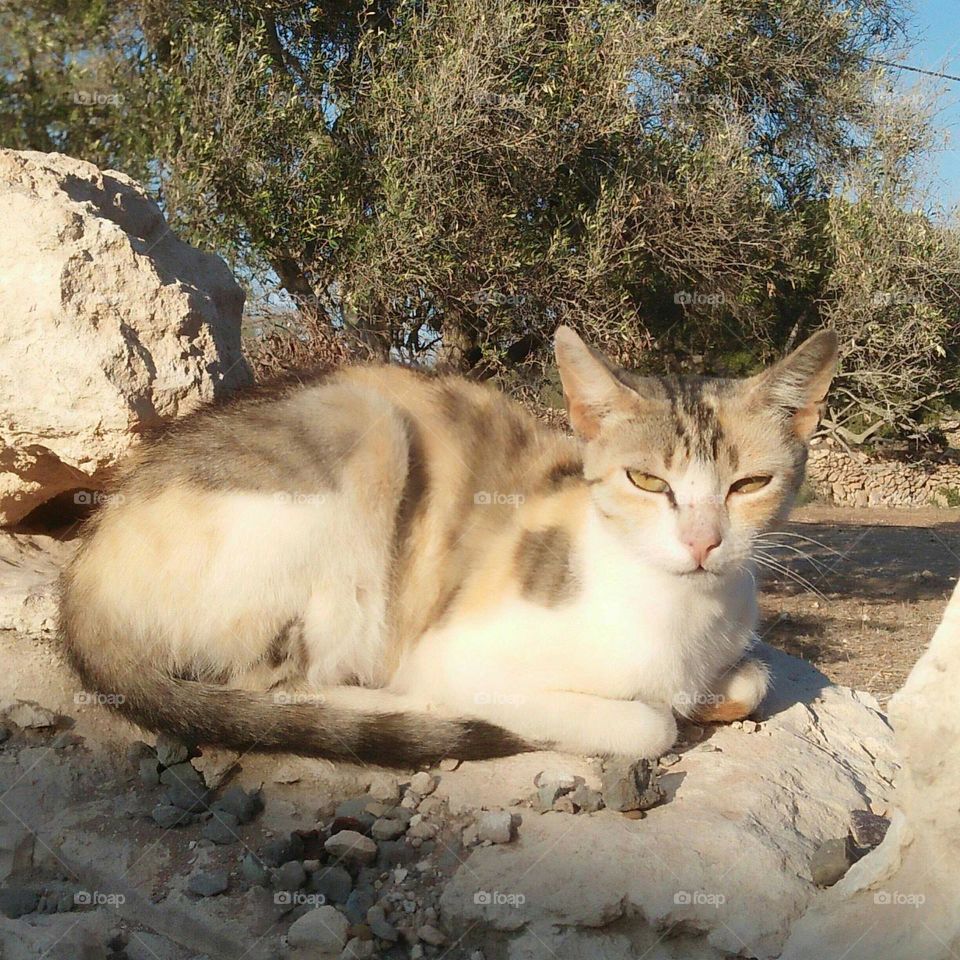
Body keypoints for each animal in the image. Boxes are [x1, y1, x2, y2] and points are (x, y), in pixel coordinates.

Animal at [60, 324, 836, 764]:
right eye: (647, 480)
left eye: (750, 484)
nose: (703, 542)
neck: (681, 615)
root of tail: (84, 571)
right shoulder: (459, 654)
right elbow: (649, 725)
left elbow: (752, 681)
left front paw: (708, 694)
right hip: (364, 427)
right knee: (269, 687)